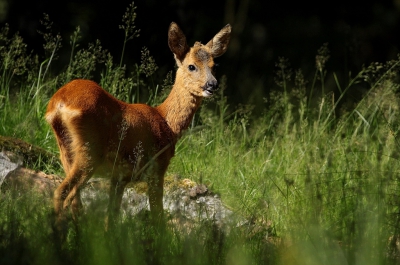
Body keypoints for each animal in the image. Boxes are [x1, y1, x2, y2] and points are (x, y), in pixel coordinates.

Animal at [45, 21, 231, 228]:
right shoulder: (157, 167)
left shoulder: (119, 176)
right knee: (64, 194)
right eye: (192, 66)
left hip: (65, 151)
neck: (166, 122)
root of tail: (59, 103)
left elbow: (112, 216)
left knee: (73, 200)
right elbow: (157, 216)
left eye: (214, 66)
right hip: (90, 150)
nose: (212, 85)